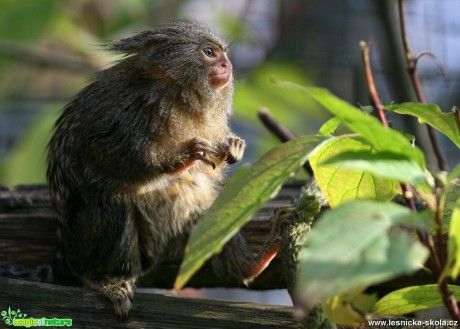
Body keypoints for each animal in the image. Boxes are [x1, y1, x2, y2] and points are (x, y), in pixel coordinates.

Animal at [0, 19, 280, 320]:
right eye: (209, 52)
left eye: (223, 54)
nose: (227, 65)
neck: (176, 96)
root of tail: (65, 252)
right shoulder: (119, 116)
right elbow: (104, 156)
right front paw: (182, 157)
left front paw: (233, 145)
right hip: (86, 245)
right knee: (113, 203)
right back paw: (105, 280)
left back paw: (253, 263)